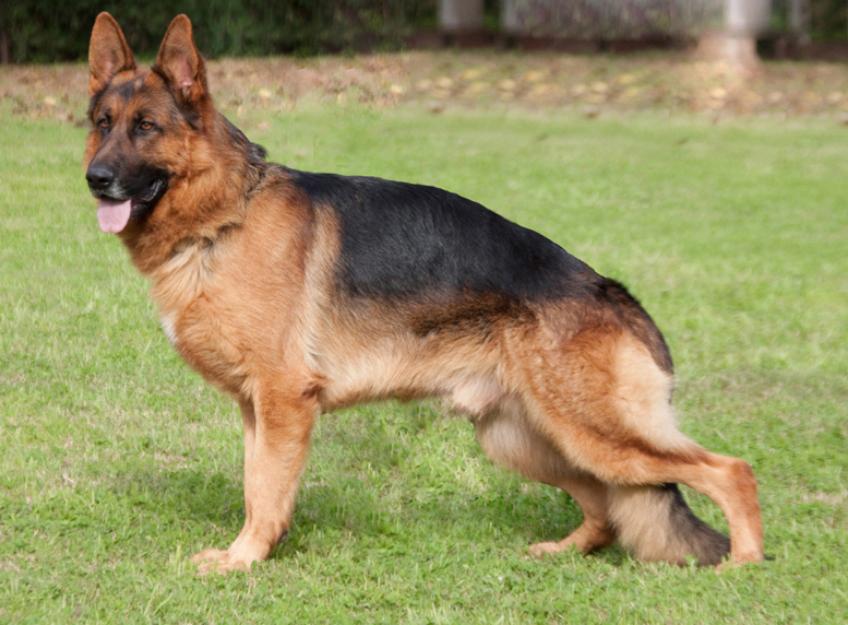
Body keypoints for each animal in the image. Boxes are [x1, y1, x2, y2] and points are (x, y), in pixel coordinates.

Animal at [83, 12, 764, 572]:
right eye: (102, 125)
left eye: (146, 127)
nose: (95, 179)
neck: (225, 216)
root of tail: (612, 292)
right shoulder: (258, 410)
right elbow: (256, 485)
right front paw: (250, 553)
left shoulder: (283, 403)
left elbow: (265, 491)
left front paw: (243, 560)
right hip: (530, 441)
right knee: (607, 507)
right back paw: (564, 550)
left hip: (594, 434)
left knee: (730, 471)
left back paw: (744, 565)